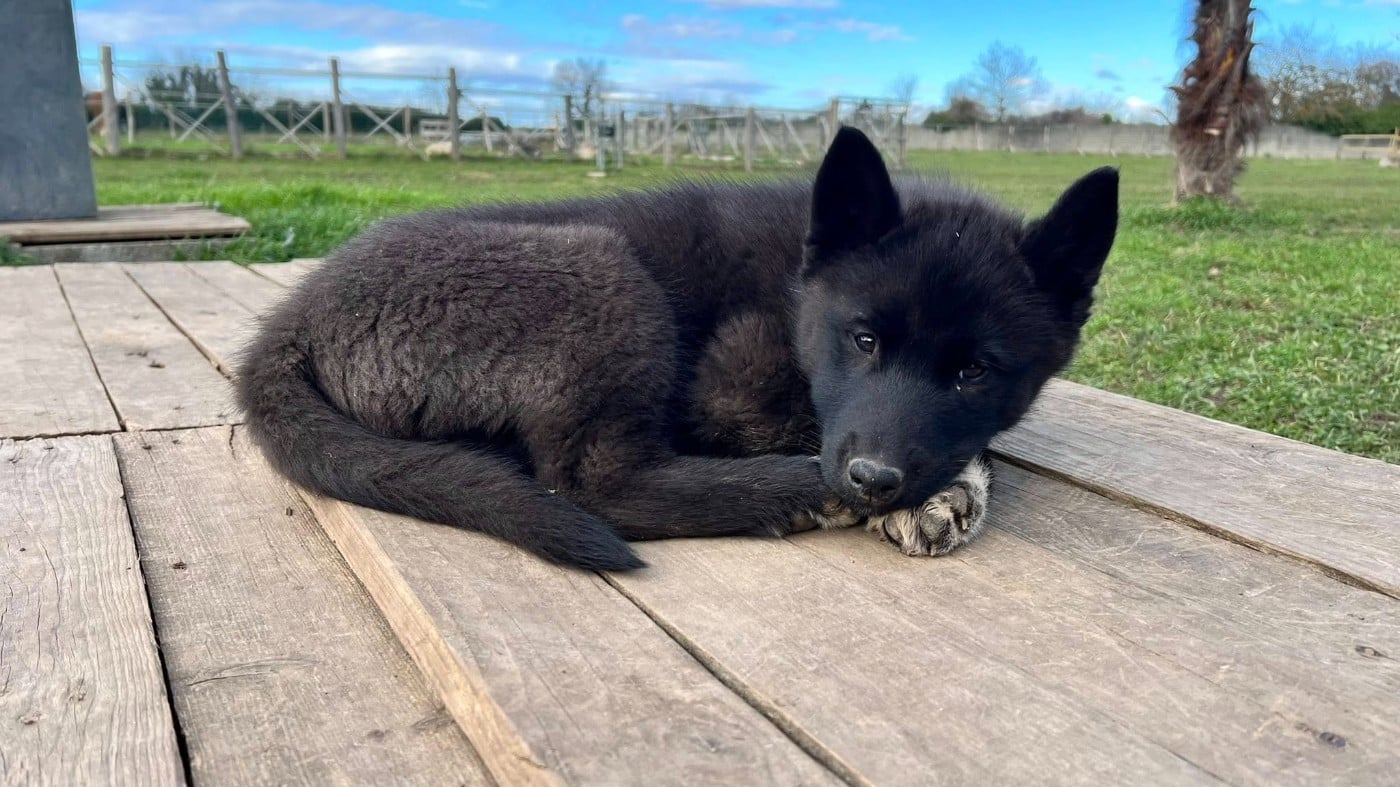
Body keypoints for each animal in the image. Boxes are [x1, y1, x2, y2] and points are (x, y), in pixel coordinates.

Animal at [235, 128, 1118, 570]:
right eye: (862, 339)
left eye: (974, 371)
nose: (873, 481)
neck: (796, 286)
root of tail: (292, 318)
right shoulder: (731, 387)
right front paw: (936, 493)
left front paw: (948, 485)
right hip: (602, 275)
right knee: (597, 483)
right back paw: (788, 491)